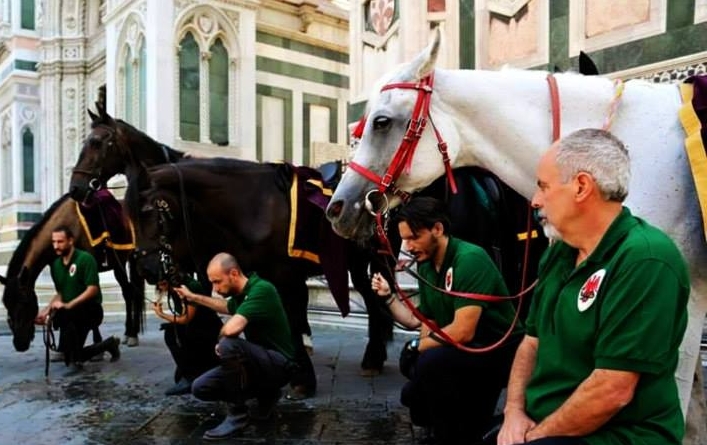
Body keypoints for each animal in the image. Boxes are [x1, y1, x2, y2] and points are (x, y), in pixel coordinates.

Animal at [0, 193, 145, 352]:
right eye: (6, 304)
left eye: (24, 301)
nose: (20, 343)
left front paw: (98, 341)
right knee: (130, 292)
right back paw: (129, 332)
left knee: (130, 293)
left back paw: (132, 334)